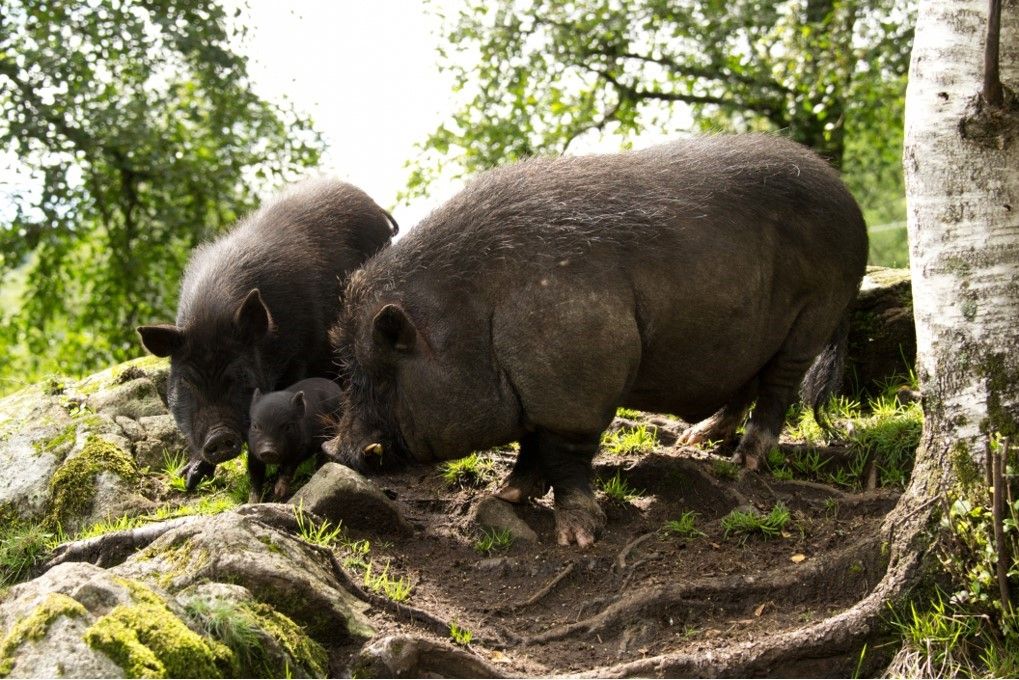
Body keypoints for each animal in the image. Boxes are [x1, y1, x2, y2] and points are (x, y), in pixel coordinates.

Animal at [137, 178, 397, 490]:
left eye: (240, 375)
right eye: (186, 381)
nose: (219, 436)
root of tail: (373, 205)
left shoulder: (299, 358)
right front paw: (189, 479)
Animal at [324, 134, 868, 548]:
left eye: (382, 370)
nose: (334, 450)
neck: (476, 317)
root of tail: (849, 199)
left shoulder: (577, 378)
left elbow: (564, 455)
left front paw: (578, 538)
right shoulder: (535, 391)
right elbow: (529, 443)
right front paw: (507, 496)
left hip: (816, 311)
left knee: (778, 386)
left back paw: (746, 461)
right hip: (750, 331)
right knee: (745, 382)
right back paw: (697, 440)